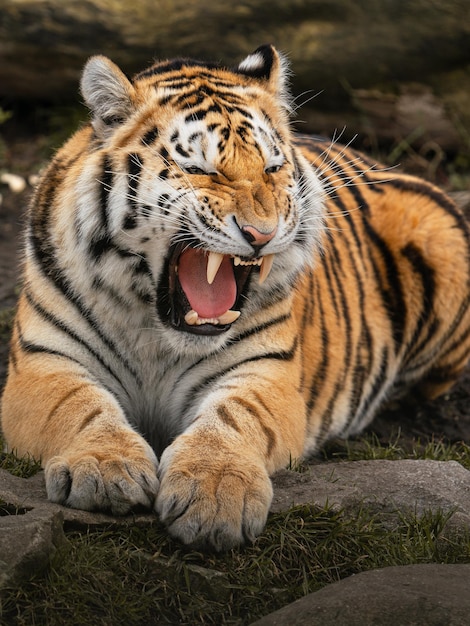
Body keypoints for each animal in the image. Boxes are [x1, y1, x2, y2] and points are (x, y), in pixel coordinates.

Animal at [2, 46, 470, 548]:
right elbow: (77, 406)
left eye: (271, 168)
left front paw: (214, 494)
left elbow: (233, 417)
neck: (156, 333)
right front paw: (106, 468)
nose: (262, 234)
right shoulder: (43, 362)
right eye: (200, 170)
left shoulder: (265, 371)